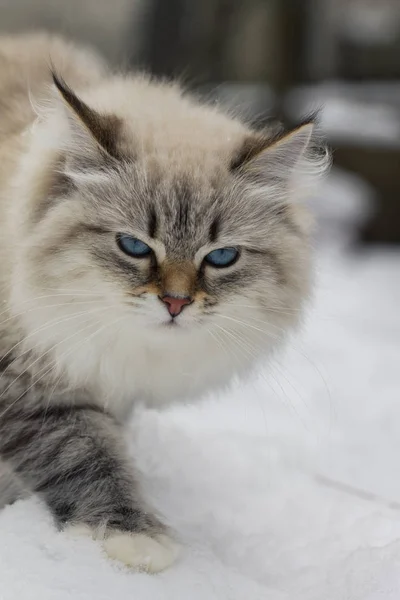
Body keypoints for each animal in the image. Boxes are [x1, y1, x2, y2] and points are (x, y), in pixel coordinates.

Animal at [0, 31, 330, 572]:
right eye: (134, 246)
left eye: (221, 257)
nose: (175, 304)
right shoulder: (32, 384)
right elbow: (85, 454)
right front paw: (132, 538)